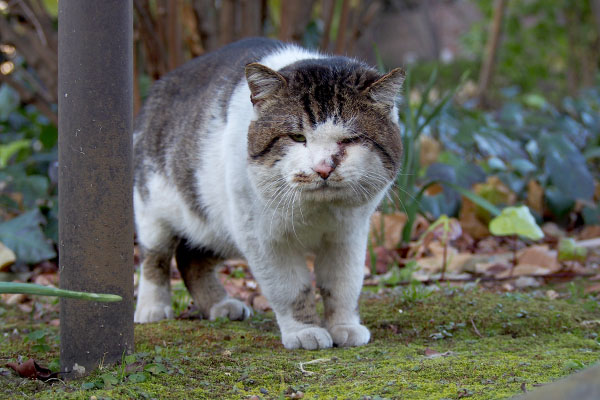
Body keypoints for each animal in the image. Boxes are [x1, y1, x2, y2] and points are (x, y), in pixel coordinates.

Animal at [132, 39, 404, 348]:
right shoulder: (264, 239)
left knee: (190, 258)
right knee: (156, 257)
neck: (316, 213)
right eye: (297, 137)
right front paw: (304, 332)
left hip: (217, 228)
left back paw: (220, 306)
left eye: (351, 139)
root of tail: (161, 85)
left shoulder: (348, 235)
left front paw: (344, 326)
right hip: (156, 209)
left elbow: (343, 283)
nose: (323, 168)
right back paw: (152, 309)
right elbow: (291, 289)